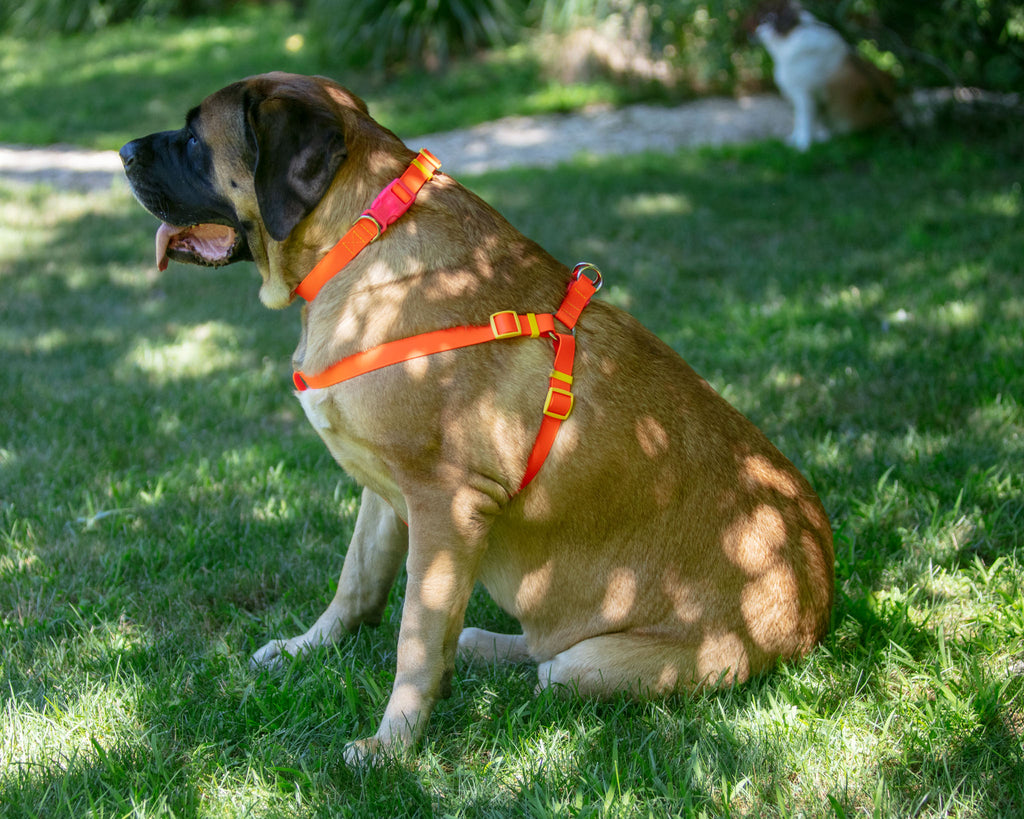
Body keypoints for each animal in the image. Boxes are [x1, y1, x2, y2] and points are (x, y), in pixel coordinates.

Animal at [119, 72, 835, 769]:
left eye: (193, 138)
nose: (122, 152)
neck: (359, 240)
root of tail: (819, 605)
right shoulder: (386, 492)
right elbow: (356, 584)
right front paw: (307, 648)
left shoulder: (446, 504)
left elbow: (415, 635)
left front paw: (392, 746)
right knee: (528, 644)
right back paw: (481, 643)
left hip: (597, 662)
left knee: (549, 663)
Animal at [745, 1, 897, 150]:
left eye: (766, 18)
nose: (753, 30)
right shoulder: (801, 95)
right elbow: (800, 121)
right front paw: (797, 141)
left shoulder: (804, 94)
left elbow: (804, 121)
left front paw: (802, 145)